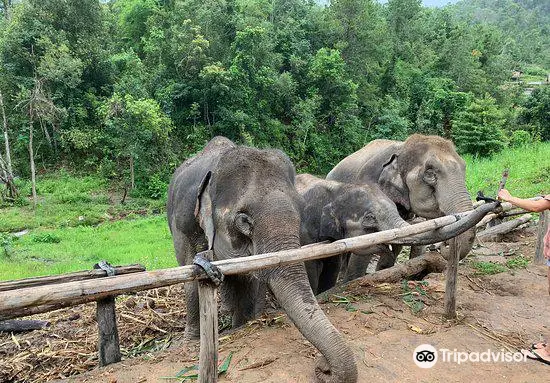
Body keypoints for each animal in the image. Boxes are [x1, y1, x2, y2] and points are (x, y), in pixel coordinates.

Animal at [166, 138, 360, 383]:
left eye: (300, 209)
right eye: (243, 220)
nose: (323, 367)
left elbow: (255, 279)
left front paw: (249, 323)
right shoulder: (183, 222)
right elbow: (190, 273)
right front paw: (191, 342)